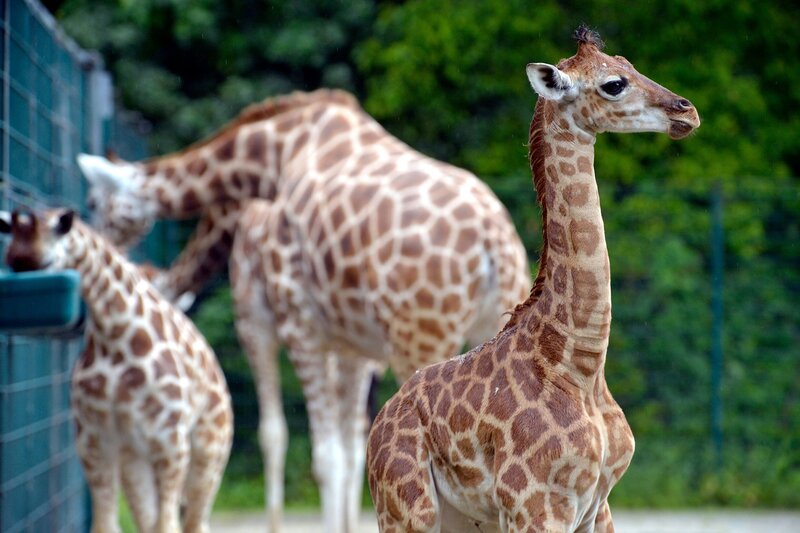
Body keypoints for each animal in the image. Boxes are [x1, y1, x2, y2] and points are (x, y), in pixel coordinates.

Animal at [0, 208, 233, 533]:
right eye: (11, 262)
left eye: (44, 264)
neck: (114, 335)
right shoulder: (95, 439)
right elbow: (106, 524)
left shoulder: (170, 440)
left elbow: (167, 525)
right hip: (135, 458)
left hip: (209, 448)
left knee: (195, 521)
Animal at [75, 89, 531, 532]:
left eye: (95, 201)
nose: (99, 242)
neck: (272, 153)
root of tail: (494, 240)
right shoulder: (350, 344)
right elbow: (348, 451)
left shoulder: (279, 323)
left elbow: (304, 448)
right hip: (489, 326)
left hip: (418, 335)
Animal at [366, 26, 700, 532]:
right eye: (614, 84)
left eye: (629, 64)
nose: (686, 111)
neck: (580, 365)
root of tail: (377, 429)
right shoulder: (535, 503)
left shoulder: (598, 507)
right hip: (408, 509)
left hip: (461, 520)